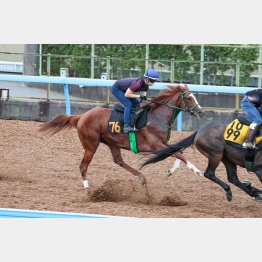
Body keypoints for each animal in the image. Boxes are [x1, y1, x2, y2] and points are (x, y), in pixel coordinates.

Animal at [39, 85, 204, 193]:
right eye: (189, 98)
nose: (201, 112)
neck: (157, 117)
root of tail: (81, 116)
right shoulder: (155, 145)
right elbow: (178, 153)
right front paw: (196, 170)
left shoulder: (163, 143)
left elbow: (179, 151)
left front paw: (171, 170)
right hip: (91, 145)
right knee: (83, 165)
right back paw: (86, 186)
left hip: (112, 143)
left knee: (118, 161)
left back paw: (141, 177)